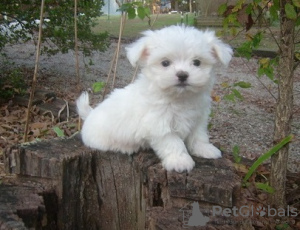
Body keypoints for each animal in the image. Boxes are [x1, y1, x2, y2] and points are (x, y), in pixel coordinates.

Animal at [77, 25, 232, 172]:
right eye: (165, 63)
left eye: (197, 62)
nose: (182, 75)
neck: (179, 98)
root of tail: (90, 114)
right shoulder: (159, 124)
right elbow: (173, 142)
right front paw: (179, 160)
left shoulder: (198, 118)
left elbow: (198, 136)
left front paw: (205, 149)